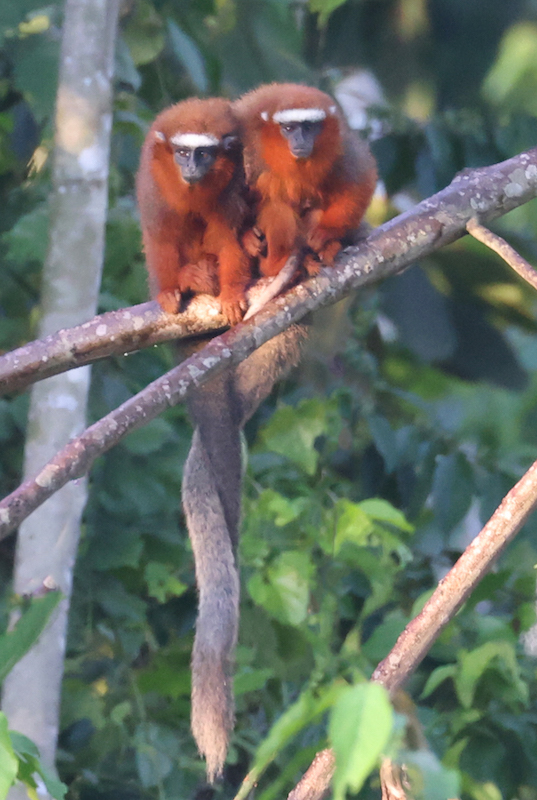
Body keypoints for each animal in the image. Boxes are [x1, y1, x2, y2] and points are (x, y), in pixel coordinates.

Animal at [136, 97, 250, 325]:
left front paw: (232, 293)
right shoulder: (153, 183)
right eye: (182, 153)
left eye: (203, 154)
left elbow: (226, 238)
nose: (191, 167)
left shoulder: (234, 177)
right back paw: (188, 279)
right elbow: (160, 237)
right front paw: (169, 290)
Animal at [234, 82, 377, 277]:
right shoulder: (243, 132)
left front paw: (325, 231)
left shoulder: (342, 141)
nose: (299, 139)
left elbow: (361, 178)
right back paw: (274, 265)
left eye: (308, 128)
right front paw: (246, 236)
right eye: (289, 128)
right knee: (276, 208)